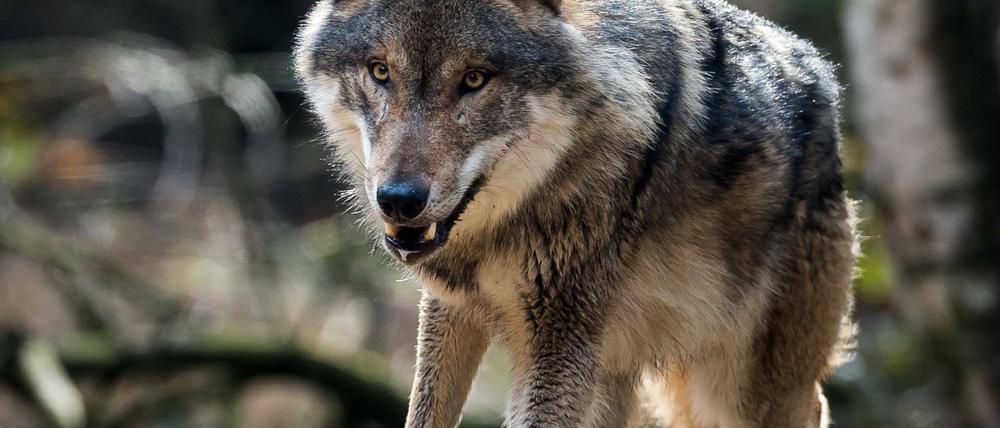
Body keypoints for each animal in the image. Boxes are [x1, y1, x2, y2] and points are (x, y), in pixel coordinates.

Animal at [294, 0, 856, 426]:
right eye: (380, 71)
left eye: (474, 79)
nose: (398, 199)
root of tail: (824, 74)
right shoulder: (450, 309)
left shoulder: (558, 342)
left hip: (740, 389)